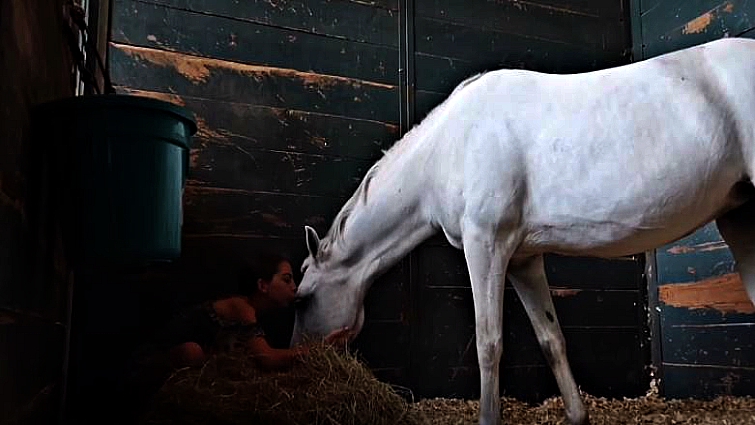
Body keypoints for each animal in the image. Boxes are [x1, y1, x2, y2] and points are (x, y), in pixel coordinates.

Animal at [288, 37, 755, 425]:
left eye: (302, 299)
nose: (297, 359)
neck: (448, 147)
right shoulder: (523, 260)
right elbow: (551, 338)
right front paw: (577, 415)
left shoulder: (485, 246)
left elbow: (488, 343)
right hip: (739, 219)